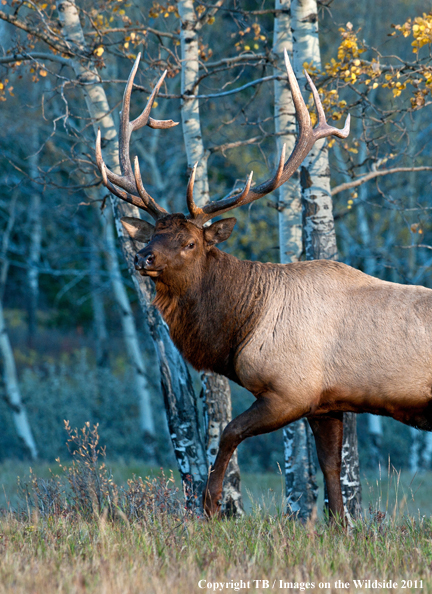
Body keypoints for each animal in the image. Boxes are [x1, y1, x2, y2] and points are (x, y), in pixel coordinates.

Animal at [95, 51, 432, 520]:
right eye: (152, 235)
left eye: (189, 242)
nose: (142, 258)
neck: (241, 329)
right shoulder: (326, 403)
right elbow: (330, 471)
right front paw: (339, 526)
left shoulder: (290, 390)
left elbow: (229, 433)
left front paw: (211, 505)